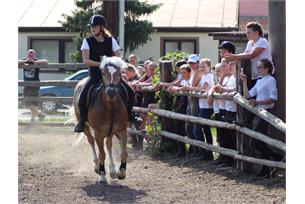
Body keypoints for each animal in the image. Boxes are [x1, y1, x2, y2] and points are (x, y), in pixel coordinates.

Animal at [73, 55, 128, 183]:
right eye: (103, 73)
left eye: (119, 73)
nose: (111, 92)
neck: (110, 107)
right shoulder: (99, 133)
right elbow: (102, 154)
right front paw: (102, 175)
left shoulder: (121, 130)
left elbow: (124, 152)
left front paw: (121, 172)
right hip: (86, 127)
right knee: (91, 141)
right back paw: (97, 166)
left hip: (110, 132)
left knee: (108, 144)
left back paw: (112, 170)